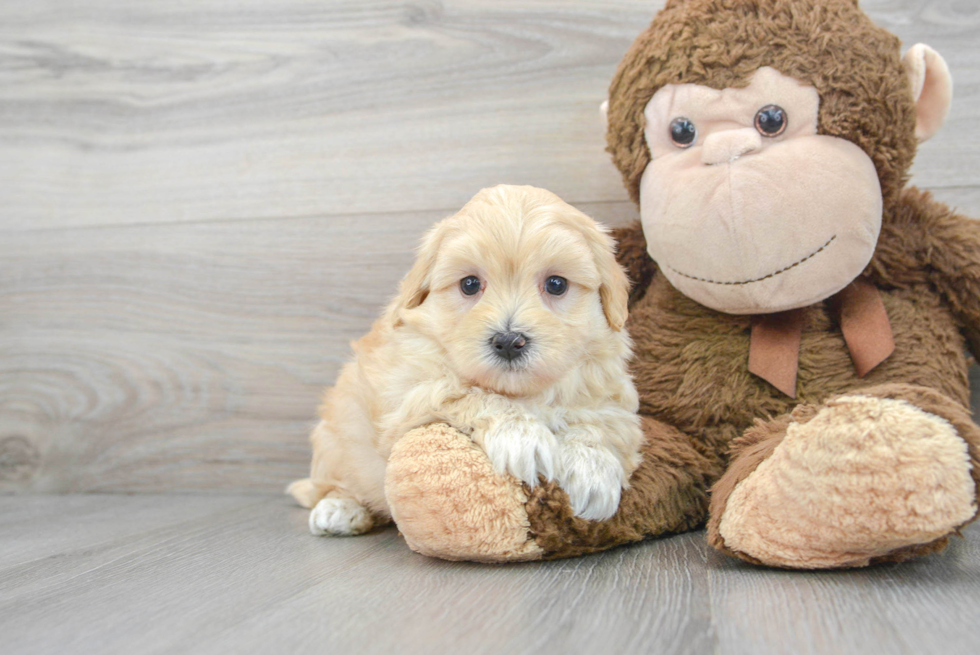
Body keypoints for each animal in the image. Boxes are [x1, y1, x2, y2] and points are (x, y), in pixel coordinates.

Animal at [290, 186, 644, 540]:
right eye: (470, 284)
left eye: (556, 284)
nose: (508, 341)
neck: (524, 392)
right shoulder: (408, 393)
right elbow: (469, 393)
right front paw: (522, 437)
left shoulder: (612, 398)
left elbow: (599, 424)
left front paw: (592, 470)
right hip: (337, 436)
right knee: (332, 485)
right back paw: (339, 509)